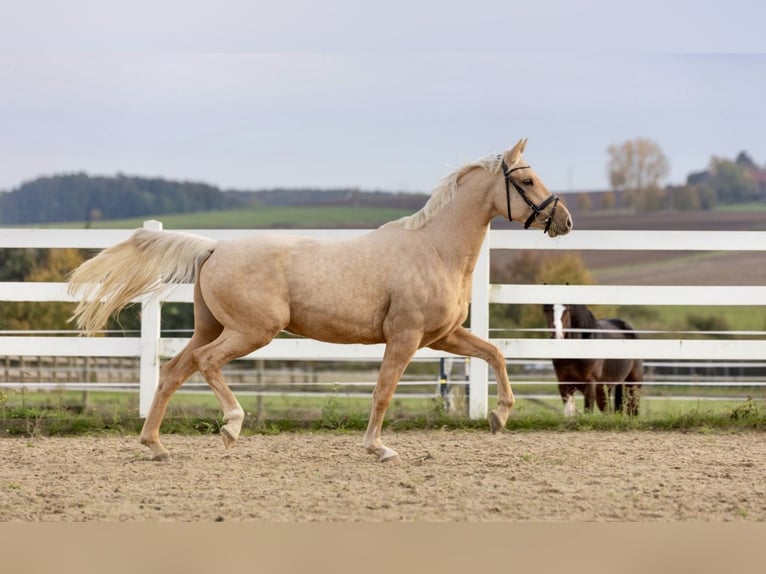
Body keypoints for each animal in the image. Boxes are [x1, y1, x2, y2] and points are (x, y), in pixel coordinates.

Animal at [69, 140, 572, 464]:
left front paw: (498, 417)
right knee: (207, 364)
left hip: (212, 327)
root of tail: (214, 248)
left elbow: (495, 354)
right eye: (527, 178)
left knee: (175, 371)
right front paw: (378, 448)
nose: (564, 220)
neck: (434, 249)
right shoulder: (405, 337)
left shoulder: (442, 336)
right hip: (252, 331)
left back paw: (155, 445)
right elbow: (384, 391)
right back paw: (231, 425)